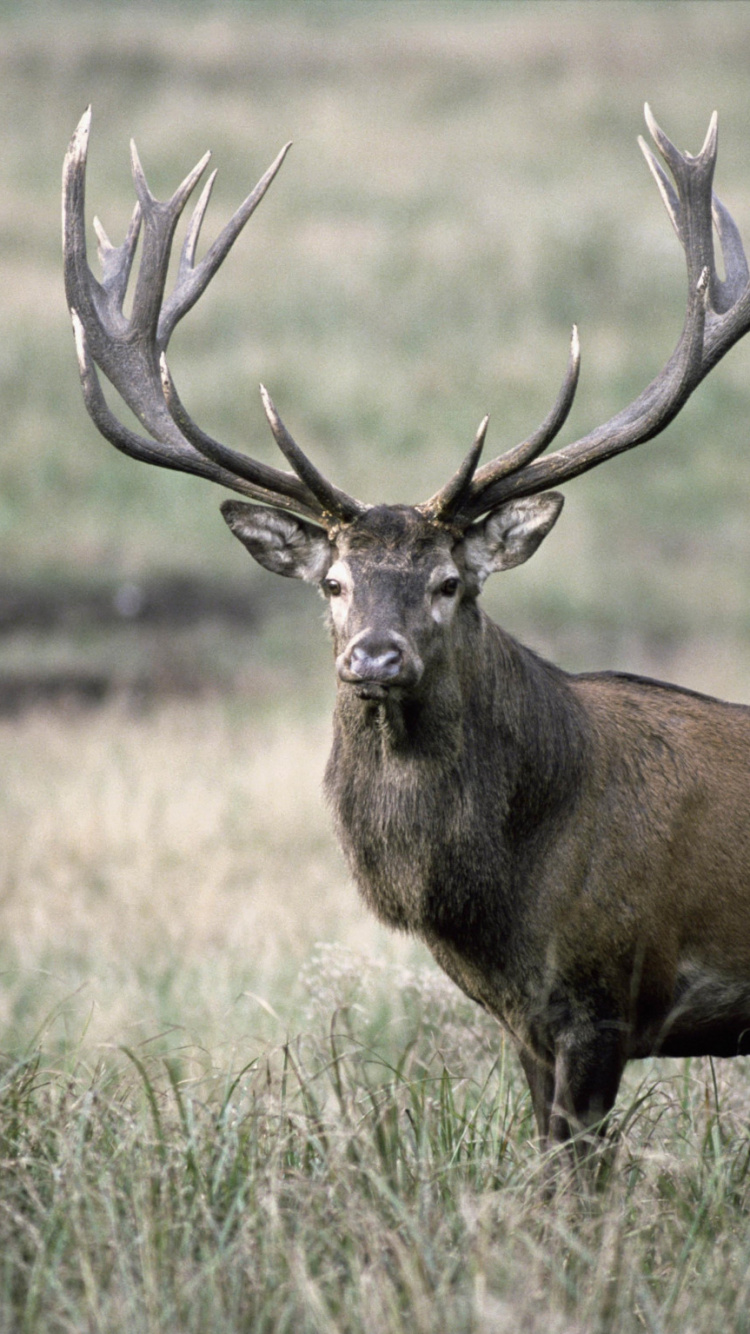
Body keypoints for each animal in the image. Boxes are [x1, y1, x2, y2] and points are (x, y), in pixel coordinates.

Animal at [63, 104, 750, 1157]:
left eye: (450, 582)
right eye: (334, 582)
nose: (374, 657)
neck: (508, 892)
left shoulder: (605, 995)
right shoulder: (528, 1021)